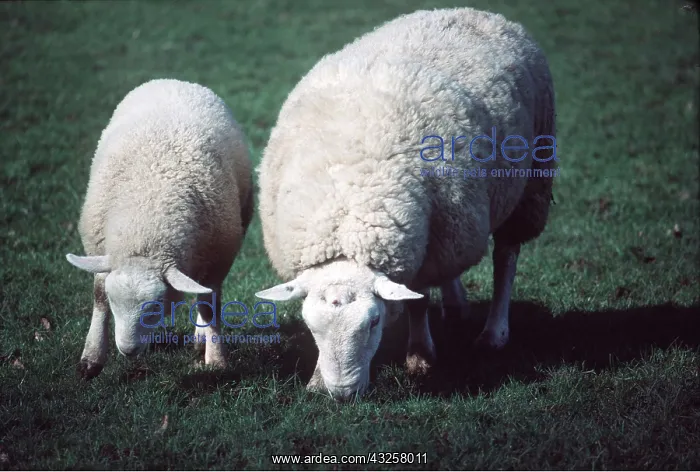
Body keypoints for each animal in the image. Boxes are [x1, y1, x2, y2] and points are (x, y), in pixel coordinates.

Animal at [66, 79, 253, 379]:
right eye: (115, 301)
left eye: (154, 306)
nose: (128, 350)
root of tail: (177, 81)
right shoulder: (102, 250)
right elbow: (98, 298)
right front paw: (91, 358)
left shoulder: (217, 259)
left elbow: (209, 306)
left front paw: (215, 360)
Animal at [255, 7, 556, 400]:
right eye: (310, 326)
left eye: (374, 322)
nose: (343, 394)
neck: (347, 212)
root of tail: (473, 11)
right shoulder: (434, 237)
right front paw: (318, 378)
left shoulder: (426, 251)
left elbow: (418, 301)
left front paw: (420, 356)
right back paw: (456, 306)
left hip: (530, 182)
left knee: (506, 256)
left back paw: (494, 334)